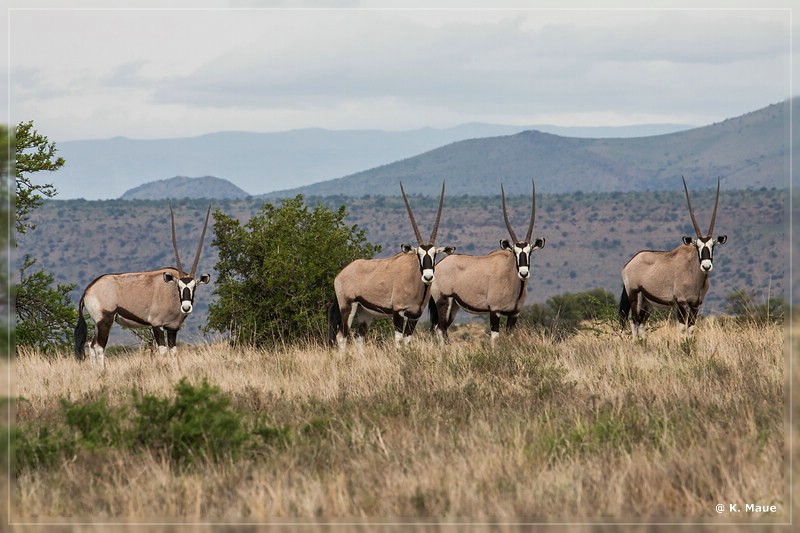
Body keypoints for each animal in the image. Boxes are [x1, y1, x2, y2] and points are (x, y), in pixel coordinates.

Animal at [73, 202, 211, 368]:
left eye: (193, 287)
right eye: (178, 287)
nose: (186, 307)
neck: (170, 292)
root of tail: (88, 290)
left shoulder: (173, 328)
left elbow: (173, 352)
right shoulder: (157, 325)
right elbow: (163, 351)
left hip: (97, 323)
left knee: (91, 345)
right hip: (104, 320)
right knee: (99, 346)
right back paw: (103, 371)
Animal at [330, 181, 456, 352]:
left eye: (435, 254)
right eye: (418, 254)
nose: (428, 277)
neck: (413, 279)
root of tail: (341, 274)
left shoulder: (414, 316)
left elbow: (407, 342)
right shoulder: (398, 312)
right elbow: (398, 342)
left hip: (365, 312)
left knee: (358, 338)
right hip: (348, 306)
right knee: (341, 336)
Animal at [428, 181, 548, 342]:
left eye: (530, 252)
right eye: (515, 252)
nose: (523, 273)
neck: (510, 277)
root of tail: (438, 265)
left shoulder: (514, 314)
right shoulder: (495, 311)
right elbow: (495, 339)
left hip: (454, 306)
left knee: (442, 328)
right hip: (443, 301)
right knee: (441, 329)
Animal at [620, 177, 728, 338]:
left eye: (712, 246)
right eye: (697, 246)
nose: (706, 266)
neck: (693, 273)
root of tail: (629, 263)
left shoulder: (696, 304)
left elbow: (691, 329)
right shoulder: (681, 302)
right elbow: (682, 329)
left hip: (646, 301)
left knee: (641, 322)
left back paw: (643, 342)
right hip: (634, 294)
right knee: (634, 321)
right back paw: (635, 342)